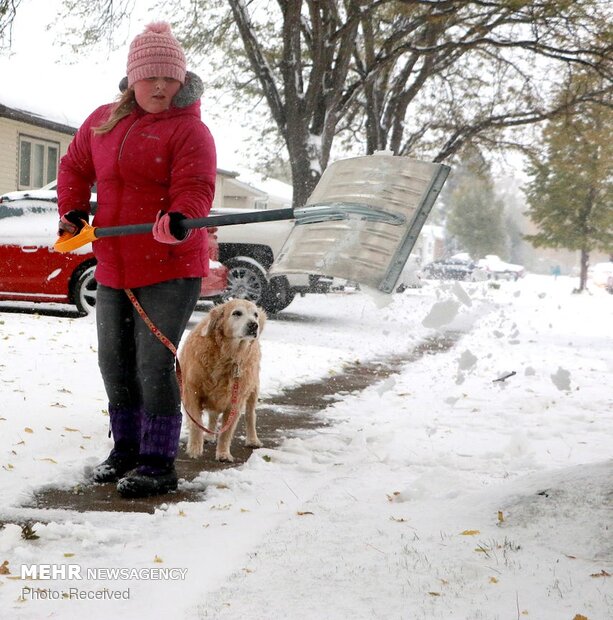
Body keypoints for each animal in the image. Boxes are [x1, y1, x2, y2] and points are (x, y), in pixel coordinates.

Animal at [176, 298, 264, 462]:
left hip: (253, 388)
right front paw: (195, 449)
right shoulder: (192, 393)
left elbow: (226, 432)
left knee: (250, 415)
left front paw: (223, 453)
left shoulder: (235, 401)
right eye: (237, 313)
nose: (254, 324)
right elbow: (197, 423)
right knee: (213, 415)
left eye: (255, 314)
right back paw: (209, 436)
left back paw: (252, 439)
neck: (228, 354)